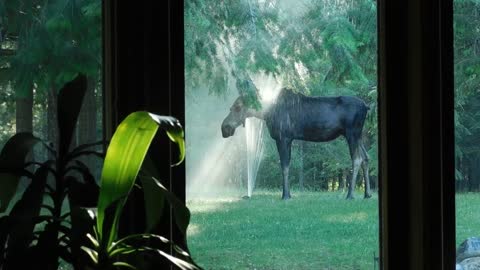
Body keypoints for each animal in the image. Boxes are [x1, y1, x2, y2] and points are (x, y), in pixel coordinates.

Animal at [221, 87, 372, 199]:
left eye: (238, 107)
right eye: (231, 108)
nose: (224, 128)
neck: (265, 113)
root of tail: (366, 106)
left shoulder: (283, 138)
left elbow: (285, 166)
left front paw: (286, 195)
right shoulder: (286, 139)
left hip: (352, 133)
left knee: (357, 159)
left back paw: (350, 195)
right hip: (358, 136)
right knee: (366, 158)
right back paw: (367, 194)